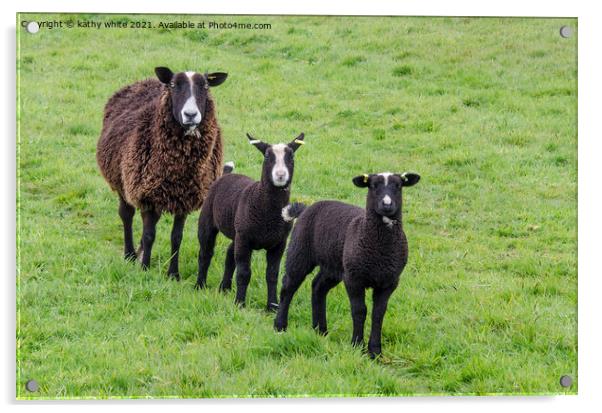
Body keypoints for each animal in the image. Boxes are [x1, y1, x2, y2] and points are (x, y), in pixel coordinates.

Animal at [96, 67, 227, 280]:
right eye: (174, 85)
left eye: (206, 86)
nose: (190, 115)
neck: (180, 172)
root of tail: (145, 80)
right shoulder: (147, 196)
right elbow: (150, 235)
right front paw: (145, 268)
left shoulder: (184, 199)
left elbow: (176, 238)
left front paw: (173, 274)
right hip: (123, 182)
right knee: (126, 215)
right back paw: (130, 254)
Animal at [272, 171, 418, 358]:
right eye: (373, 186)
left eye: (399, 186)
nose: (387, 204)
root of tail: (305, 209)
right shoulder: (354, 279)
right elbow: (359, 311)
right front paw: (357, 345)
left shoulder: (389, 282)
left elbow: (378, 314)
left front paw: (375, 352)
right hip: (300, 251)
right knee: (288, 287)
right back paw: (280, 325)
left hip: (334, 266)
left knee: (318, 287)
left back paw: (320, 330)